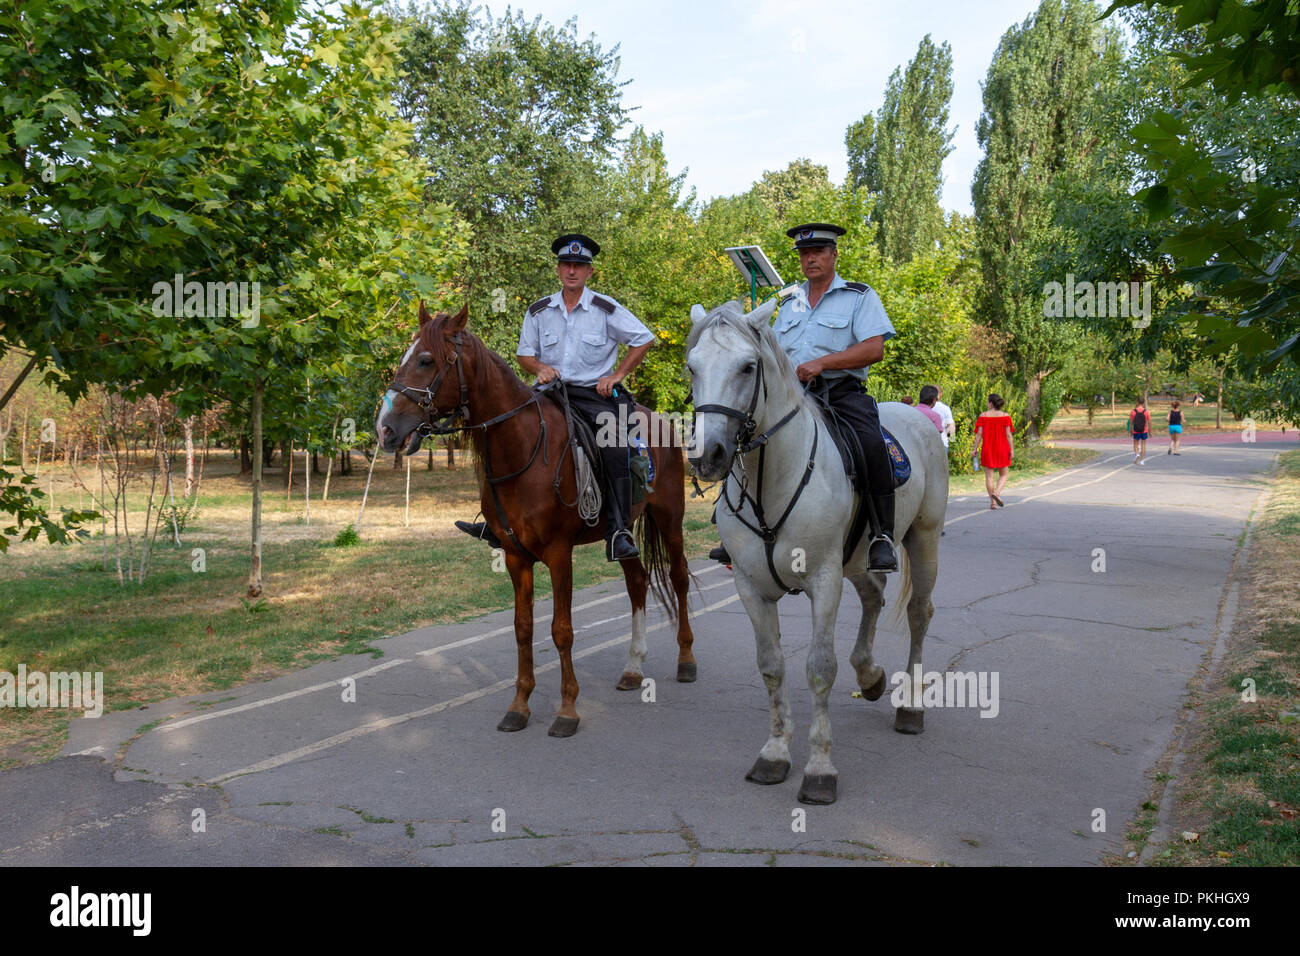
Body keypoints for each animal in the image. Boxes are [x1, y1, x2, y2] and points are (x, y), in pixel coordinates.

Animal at [377, 303, 696, 738]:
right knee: (637, 582)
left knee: (678, 578)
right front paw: (519, 705)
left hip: (669, 517)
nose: (384, 428)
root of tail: (659, 418)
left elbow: (561, 631)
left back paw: (686, 660)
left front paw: (567, 710)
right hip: (623, 532)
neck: (523, 450)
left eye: (426, 360)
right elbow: (523, 628)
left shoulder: (560, 555)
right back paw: (633, 667)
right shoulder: (516, 556)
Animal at [686, 299, 951, 806]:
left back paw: (910, 706)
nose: (707, 455)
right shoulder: (750, 587)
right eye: (692, 367)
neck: (771, 482)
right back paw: (870, 676)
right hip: (858, 558)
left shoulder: (824, 580)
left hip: (923, 539)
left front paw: (819, 769)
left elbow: (819, 669)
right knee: (873, 596)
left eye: (747, 367)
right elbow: (771, 667)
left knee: (919, 613)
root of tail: (914, 415)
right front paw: (774, 754)